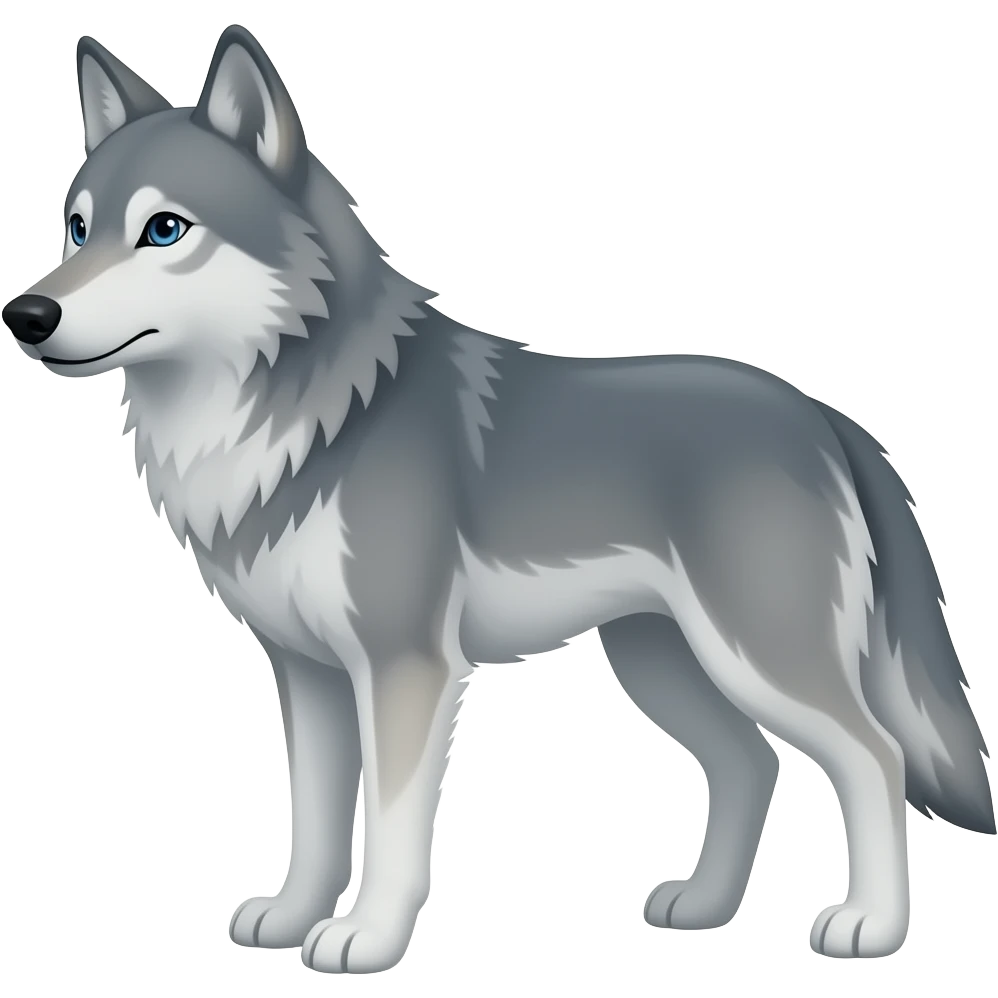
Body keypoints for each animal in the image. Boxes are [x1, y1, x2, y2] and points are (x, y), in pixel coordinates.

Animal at [2, 24, 993, 973]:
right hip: (661, 662)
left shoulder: (404, 667)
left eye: (165, 230)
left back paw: (870, 925)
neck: (307, 418)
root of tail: (825, 416)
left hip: (757, 658)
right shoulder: (308, 675)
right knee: (753, 764)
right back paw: (704, 909)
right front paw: (290, 919)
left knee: (875, 757)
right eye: (76, 228)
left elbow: (390, 828)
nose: (27, 316)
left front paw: (367, 939)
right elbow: (315, 822)